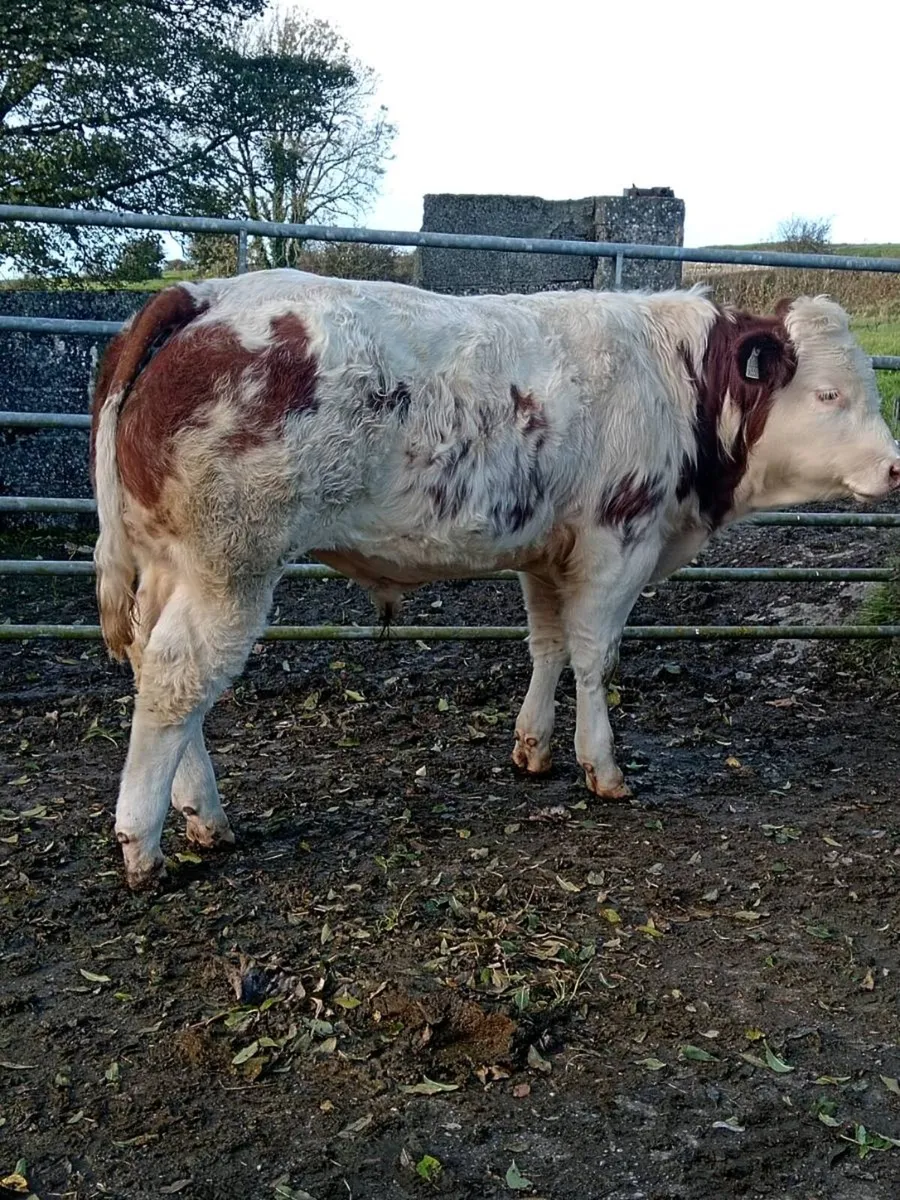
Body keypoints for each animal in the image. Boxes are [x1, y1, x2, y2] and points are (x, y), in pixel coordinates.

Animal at [90, 270, 900, 887]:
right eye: (828, 394)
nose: (895, 467)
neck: (678, 378)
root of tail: (205, 295)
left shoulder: (547, 551)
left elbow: (547, 646)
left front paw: (533, 747)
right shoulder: (617, 541)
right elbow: (594, 656)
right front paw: (602, 765)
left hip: (172, 567)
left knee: (158, 675)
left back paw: (203, 816)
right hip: (231, 566)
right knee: (177, 680)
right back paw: (144, 846)